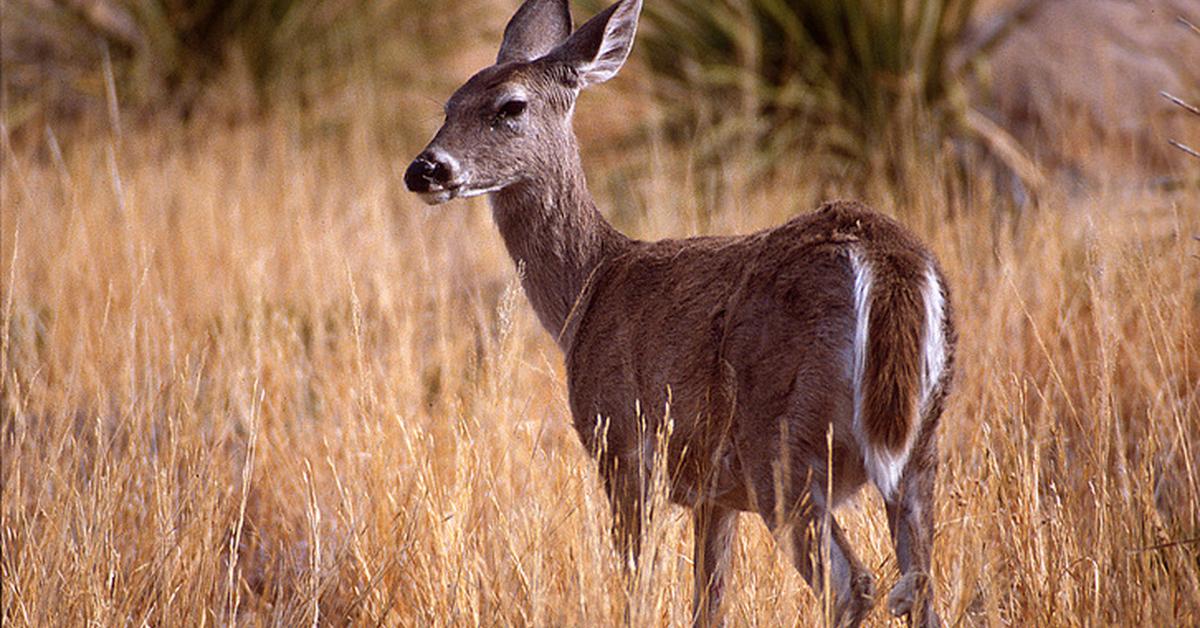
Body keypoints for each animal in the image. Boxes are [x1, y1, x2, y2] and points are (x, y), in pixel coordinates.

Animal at [403, 1, 955, 628]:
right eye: (450, 105)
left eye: (510, 106)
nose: (424, 169)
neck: (590, 288)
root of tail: (887, 260)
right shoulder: (714, 494)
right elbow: (707, 601)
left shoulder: (625, 448)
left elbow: (638, 586)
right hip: (920, 445)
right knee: (922, 586)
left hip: (782, 442)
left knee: (853, 584)